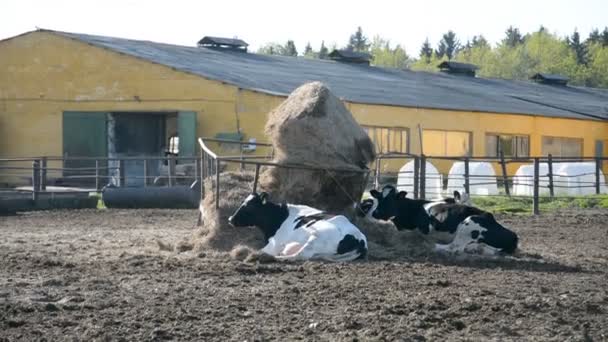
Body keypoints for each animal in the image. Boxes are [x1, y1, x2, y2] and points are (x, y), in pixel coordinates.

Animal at [228, 192, 368, 262]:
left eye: (249, 206)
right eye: (242, 202)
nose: (230, 219)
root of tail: (360, 240)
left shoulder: (275, 244)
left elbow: (263, 249)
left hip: (315, 238)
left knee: (300, 256)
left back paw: (267, 257)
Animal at [360, 186, 516, 255]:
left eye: (392, 199)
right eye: (379, 197)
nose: (376, 213)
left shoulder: (424, 228)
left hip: (468, 223)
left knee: (455, 247)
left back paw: (433, 246)